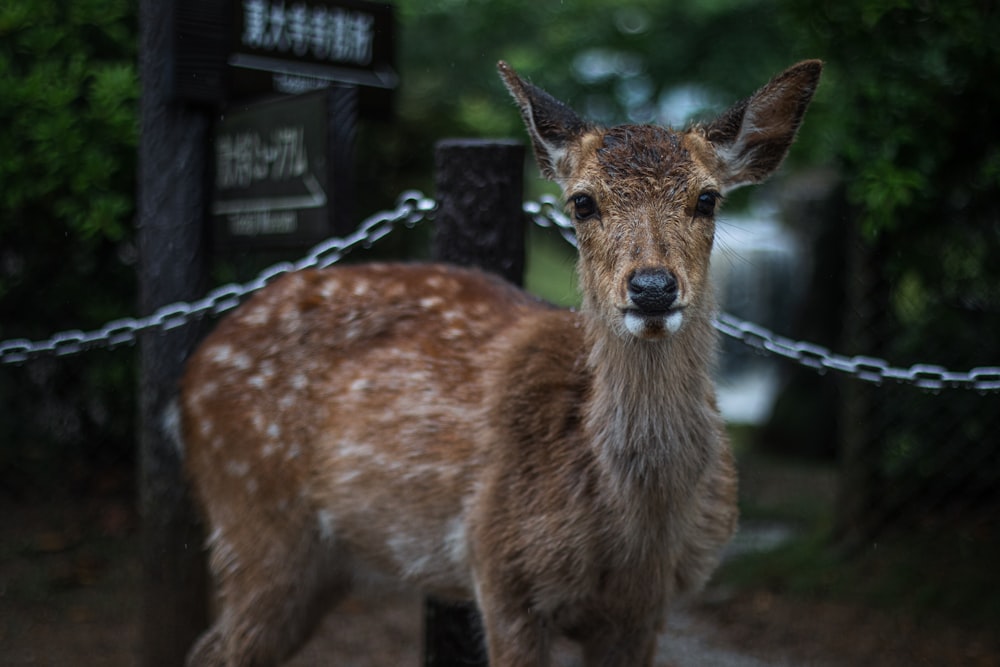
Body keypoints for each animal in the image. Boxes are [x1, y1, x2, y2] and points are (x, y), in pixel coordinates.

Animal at [180, 60, 820, 664]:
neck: (634, 530)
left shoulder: (647, 609)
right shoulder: (500, 572)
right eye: (582, 202)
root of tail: (194, 369)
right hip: (254, 516)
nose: (653, 287)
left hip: (318, 562)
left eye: (707, 198)